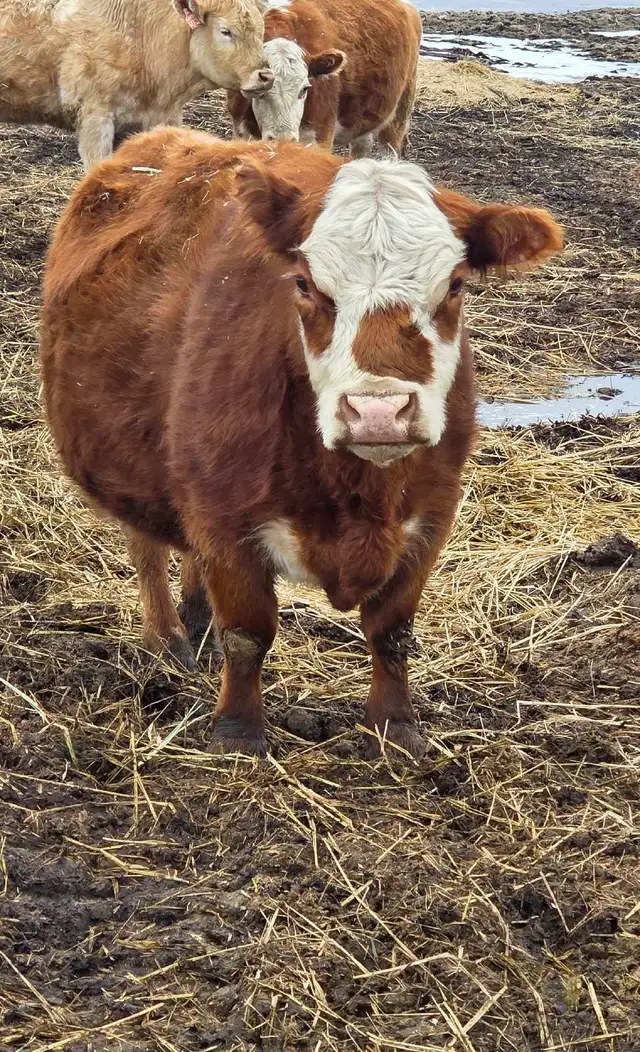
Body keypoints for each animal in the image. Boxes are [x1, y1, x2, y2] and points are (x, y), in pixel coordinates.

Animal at [40, 128, 563, 759]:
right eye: (304, 284)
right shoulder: (224, 514)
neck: (357, 493)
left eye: (457, 285)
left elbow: (392, 632)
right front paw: (238, 733)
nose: (378, 411)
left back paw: (197, 618)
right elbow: (247, 633)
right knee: (148, 548)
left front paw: (396, 727)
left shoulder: (432, 516)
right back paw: (167, 637)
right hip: (134, 467)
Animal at [226, 0, 422, 155]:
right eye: (259, 89)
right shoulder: (241, 132)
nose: (283, 140)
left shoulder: (319, 135)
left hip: (400, 113)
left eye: (304, 89)